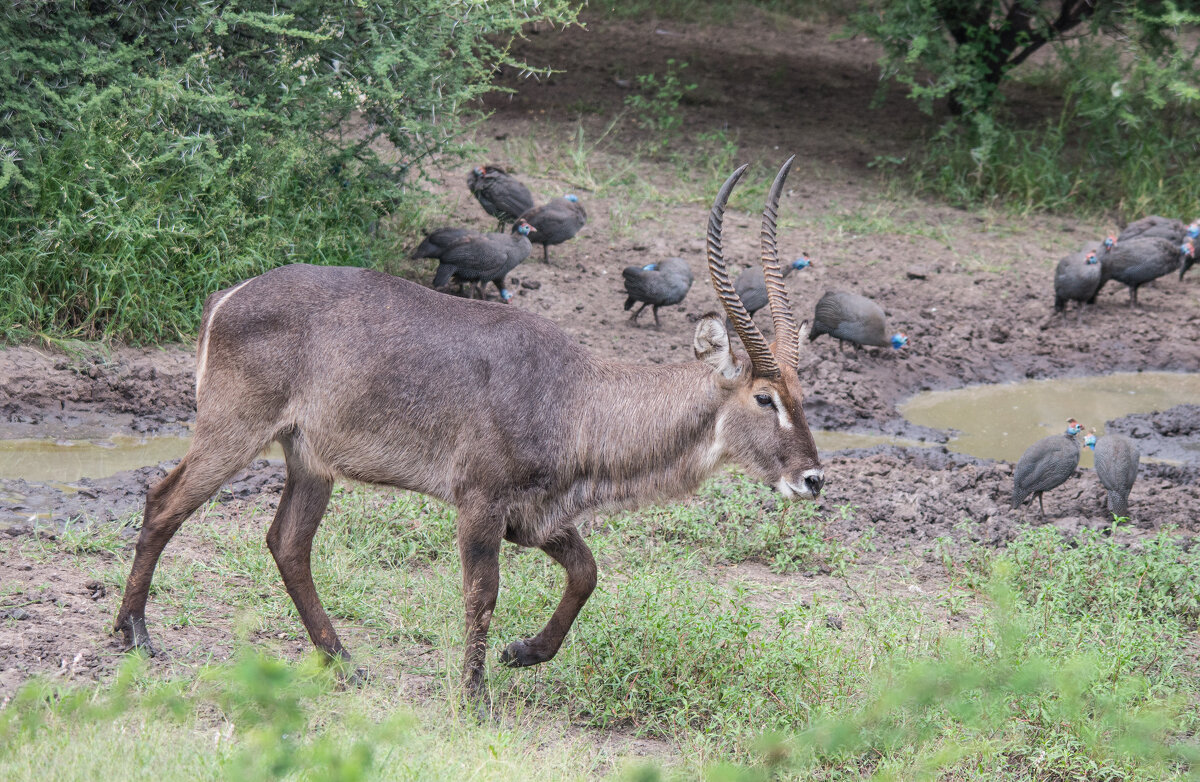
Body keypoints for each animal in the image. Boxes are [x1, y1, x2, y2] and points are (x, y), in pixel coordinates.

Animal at [114, 155, 825, 695]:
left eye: (802, 392)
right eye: (765, 398)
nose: (813, 479)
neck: (579, 396)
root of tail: (228, 296)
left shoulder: (536, 518)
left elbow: (588, 574)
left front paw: (524, 654)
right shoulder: (480, 505)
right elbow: (482, 595)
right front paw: (475, 698)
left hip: (308, 458)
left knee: (287, 543)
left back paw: (341, 661)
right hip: (233, 431)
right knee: (164, 501)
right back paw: (135, 635)